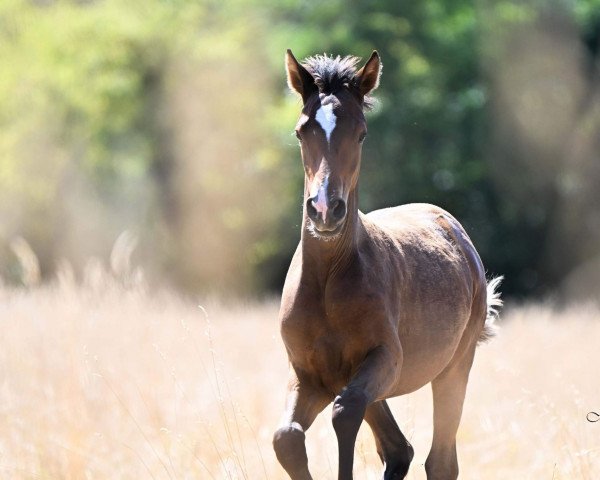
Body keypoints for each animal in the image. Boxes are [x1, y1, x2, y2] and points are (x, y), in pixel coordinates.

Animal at [274, 49, 502, 480]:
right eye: (300, 131)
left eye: (361, 133)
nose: (325, 210)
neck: (329, 279)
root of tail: (454, 228)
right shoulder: (309, 375)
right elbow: (287, 438)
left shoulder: (384, 360)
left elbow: (344, 413)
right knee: (399, 450)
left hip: (454, 367)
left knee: (439, 460)